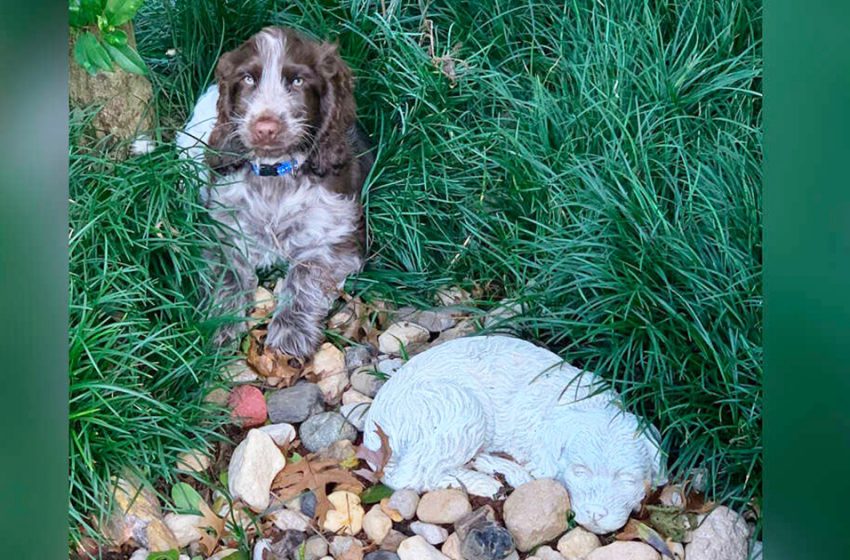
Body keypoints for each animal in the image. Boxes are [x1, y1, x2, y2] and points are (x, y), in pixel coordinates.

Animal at [178, 26, 372, 356]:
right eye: (247, 79)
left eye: (297, 81)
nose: (265, 128)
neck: (273, 175)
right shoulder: (221, 230)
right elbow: (228, 274)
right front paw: (222, 325)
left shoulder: (335, 237)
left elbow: (305, 275)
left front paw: (290, 335)